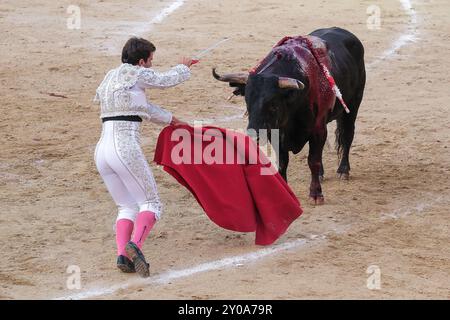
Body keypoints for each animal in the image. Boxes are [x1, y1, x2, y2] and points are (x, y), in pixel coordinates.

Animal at [214, 27, 366, 205]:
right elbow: (282, 163)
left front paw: (316, 194)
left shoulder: (317, 129)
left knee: (347, 135)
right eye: (247, 101)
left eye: (273, 104)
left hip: (353, 105)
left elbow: (313, 160)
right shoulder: (276, 133)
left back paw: (343, 170)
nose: (253, 135)